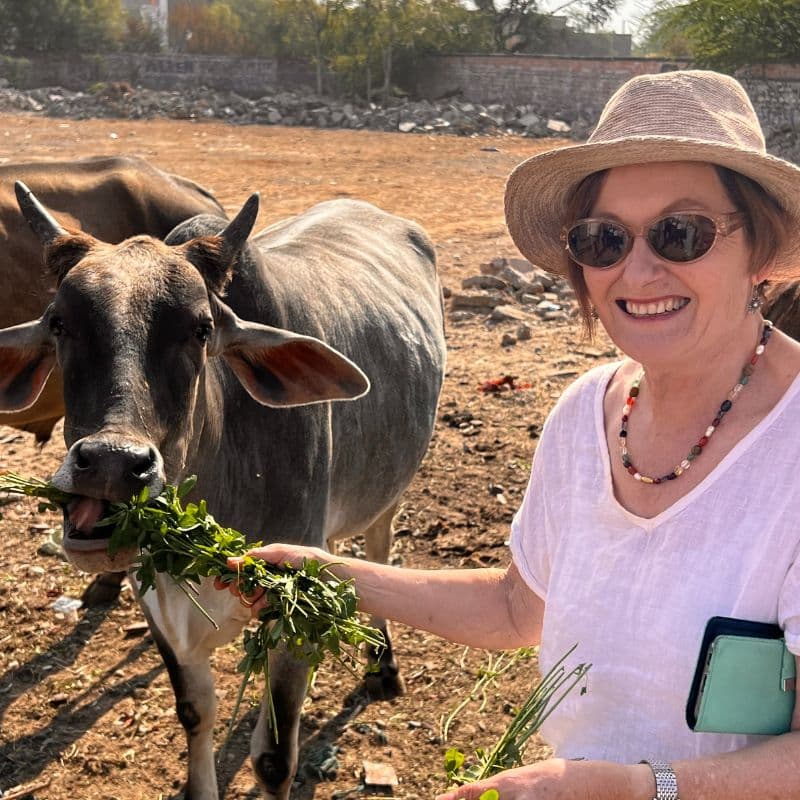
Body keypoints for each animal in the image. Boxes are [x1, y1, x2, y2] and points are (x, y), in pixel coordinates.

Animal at [0, 184, 444, 796]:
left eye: (201, 329)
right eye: (60, 323)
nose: (112, 464)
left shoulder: (291, 608)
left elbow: (274, 756)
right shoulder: (158, 606)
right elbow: (195, 712)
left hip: (389, 489)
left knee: (378, 549)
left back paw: (383, 666)